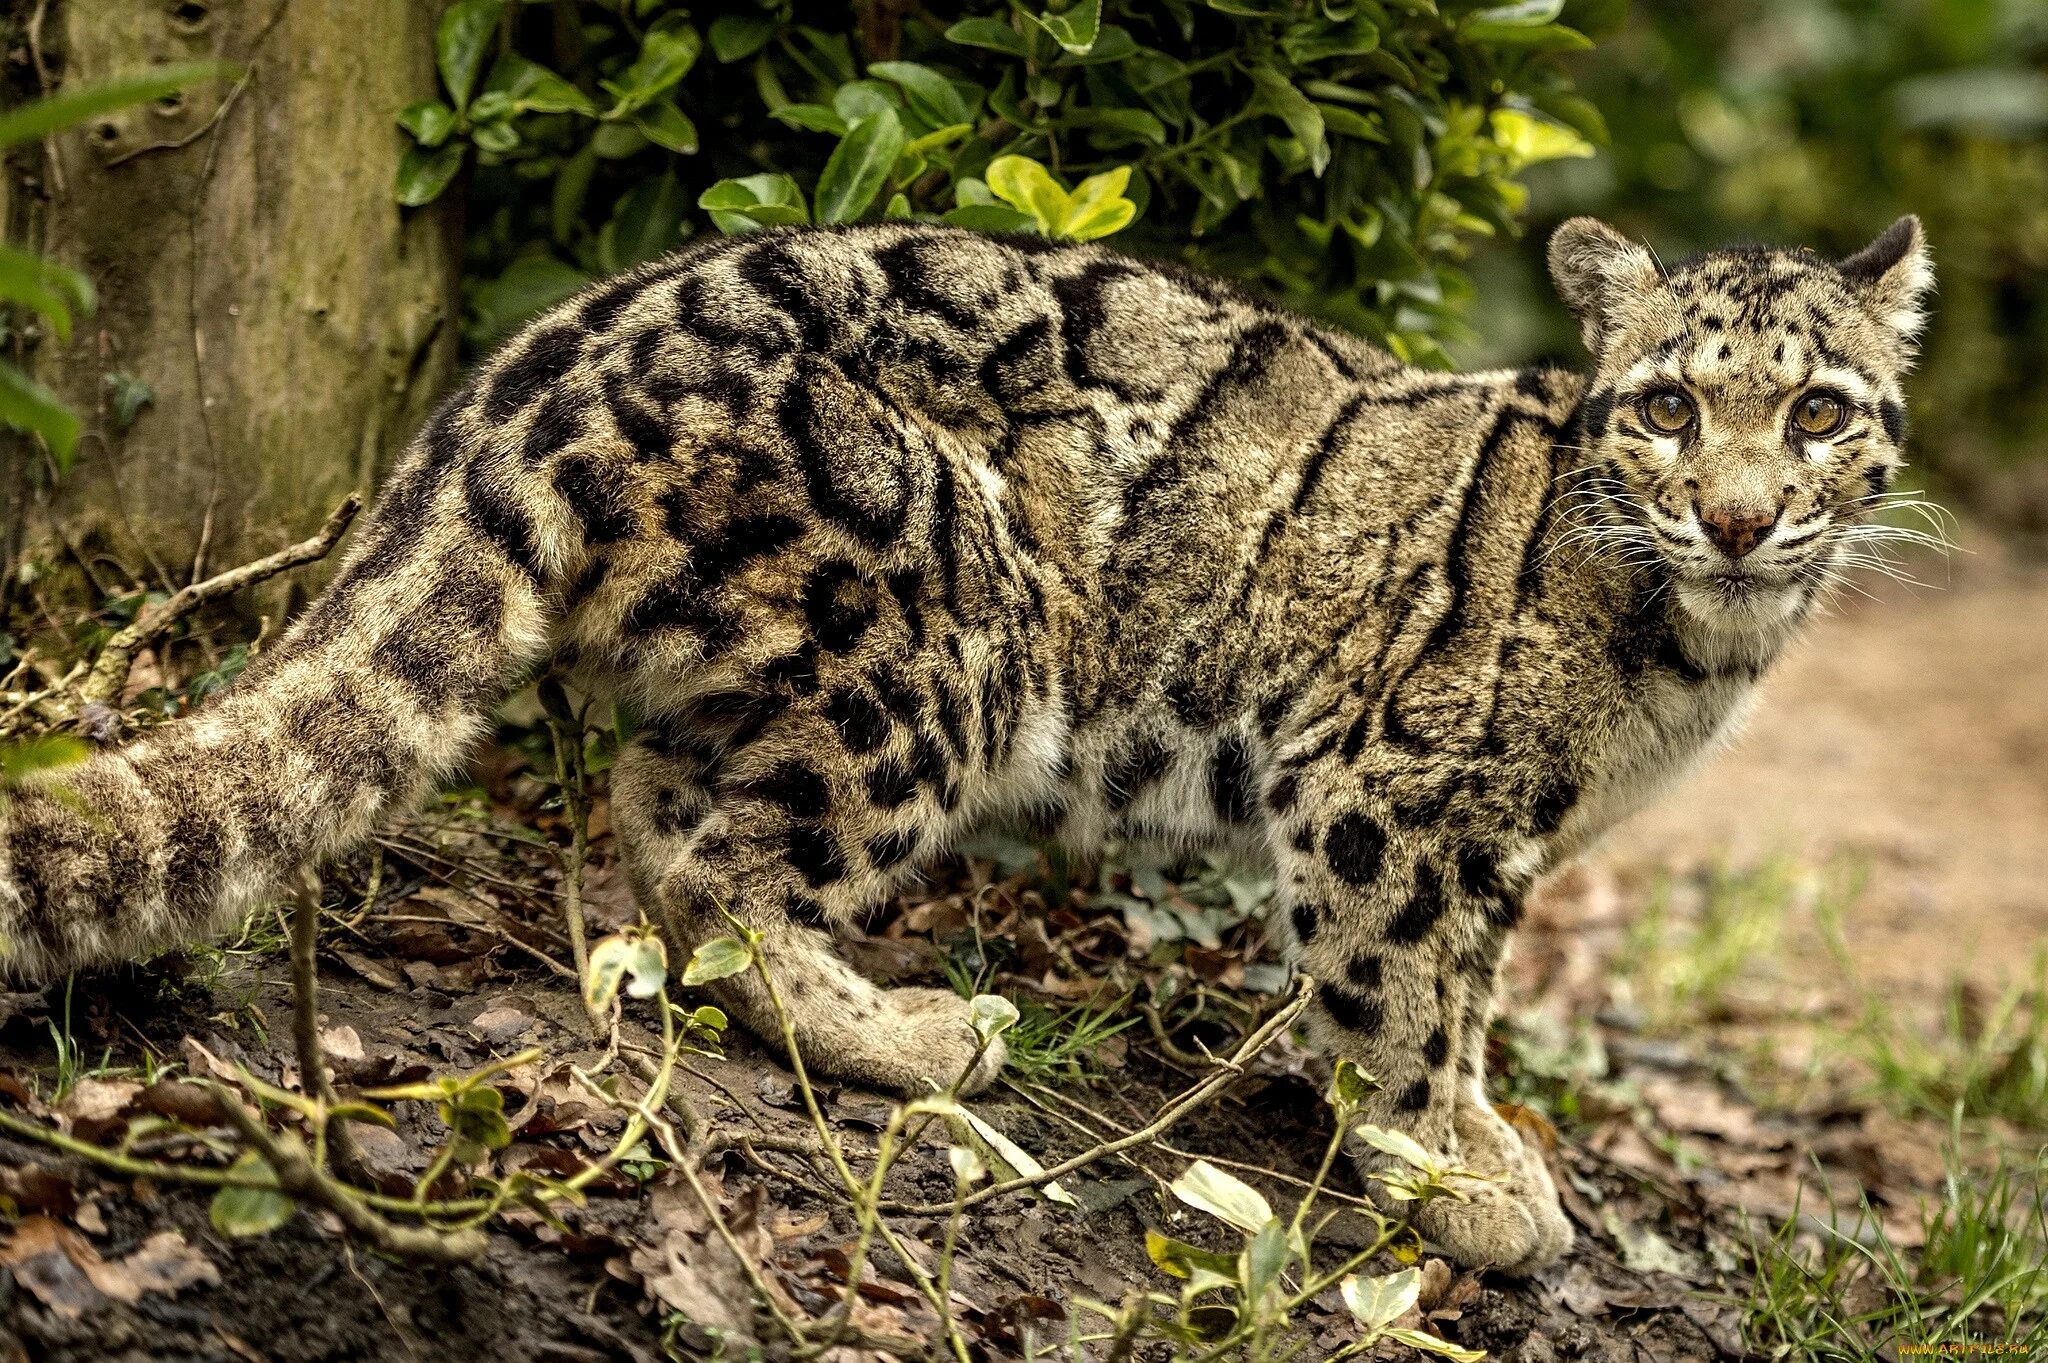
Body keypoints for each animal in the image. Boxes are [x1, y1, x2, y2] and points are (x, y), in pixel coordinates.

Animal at [0, 214, 1925, 1277]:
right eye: (1667, 404)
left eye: (1819, 412)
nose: (1741, 516)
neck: (1698, 657)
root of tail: (531, 366)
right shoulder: (1396, 803)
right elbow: (1399, 1000)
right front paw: (1459, 1172)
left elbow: (1440, 995)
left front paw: (1474, 1138)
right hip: (938, 636)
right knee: (730, 862)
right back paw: (914, 1033)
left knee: (649, 810)